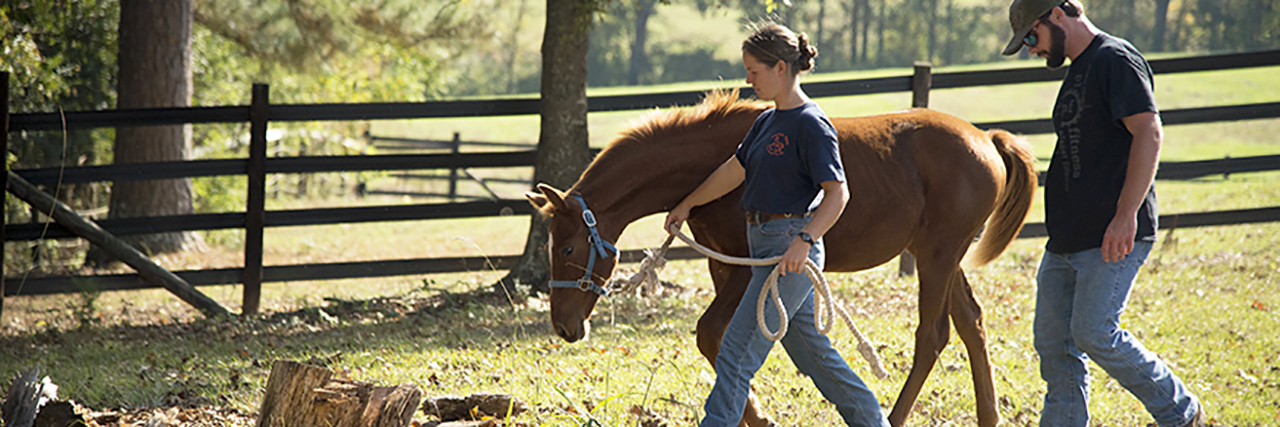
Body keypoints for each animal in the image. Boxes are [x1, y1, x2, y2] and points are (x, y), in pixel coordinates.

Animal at [524, 88, 1034, 424]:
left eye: (567, 248)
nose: (565, 327)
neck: (712, 163)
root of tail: (986, 139)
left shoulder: (744, 271)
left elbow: (710, 332)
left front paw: (755, 413)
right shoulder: (722, 265)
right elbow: (724, 338)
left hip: (937, 256)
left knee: (933, 335)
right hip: (943, 256)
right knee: (971, 322)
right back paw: (988, 416)